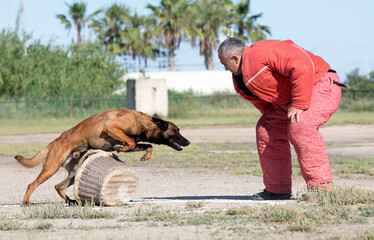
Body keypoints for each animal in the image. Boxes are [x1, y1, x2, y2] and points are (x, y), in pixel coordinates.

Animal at [14, 109, 190, 204]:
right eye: (177, 130)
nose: (188, 142)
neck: (143, 122)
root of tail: (55, 141)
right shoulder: (111, 127)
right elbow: (131, 142)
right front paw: (122, 147)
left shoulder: (135, 140)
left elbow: (146, 145)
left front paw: (145, 156)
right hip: (51, 168)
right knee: (32, 184)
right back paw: (25, 202)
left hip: (75, 172)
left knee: (59, 186)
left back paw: (70, 201)